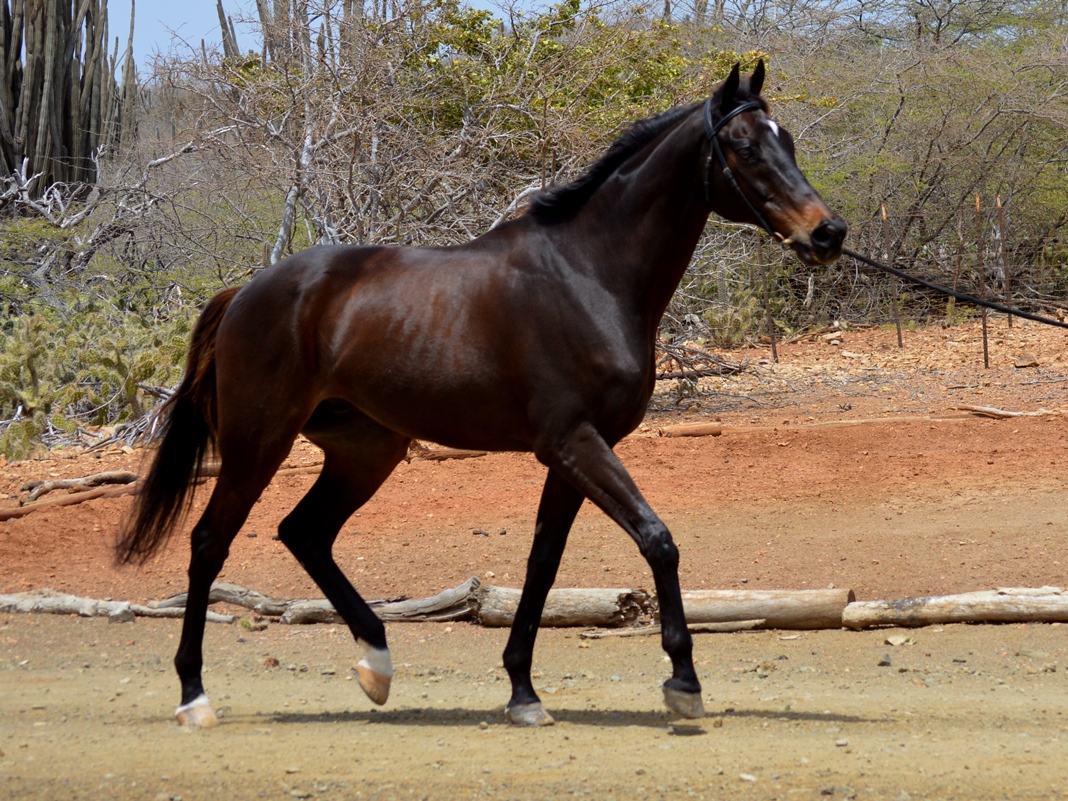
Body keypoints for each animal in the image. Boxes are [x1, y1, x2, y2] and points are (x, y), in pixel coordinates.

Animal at [116, 61, 846, 728]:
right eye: (745, 147)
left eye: (788, 141)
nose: (828, 232)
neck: (588, 274)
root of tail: (245, 293)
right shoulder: (573, 441)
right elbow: (657, 539)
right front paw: (683, 682)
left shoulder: (573, 452)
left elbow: (544, 563)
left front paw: (523, 690)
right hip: (259, 442)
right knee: (209, 542)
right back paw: (194, 696)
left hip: (366, 449)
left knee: (306, 532)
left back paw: (377, 666)